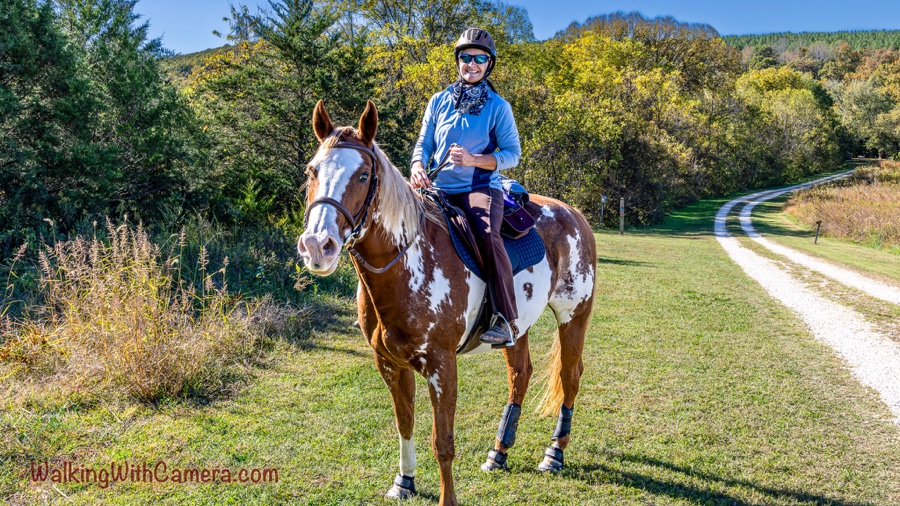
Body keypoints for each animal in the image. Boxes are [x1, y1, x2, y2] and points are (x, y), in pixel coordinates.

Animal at [297, 100, 596, 506]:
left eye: (362, 175)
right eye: (312, 171)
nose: (317, 246)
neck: (408, 264)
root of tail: (574, 215)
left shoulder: (442, 366)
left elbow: (443, 441)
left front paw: (446, 498)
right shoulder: (389, 364)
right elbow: (405, 423)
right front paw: (404, 481)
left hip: (573, 316)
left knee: (570, 376)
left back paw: (554, 453)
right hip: (516, 328)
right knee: (521, 374)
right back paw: (499, 452)